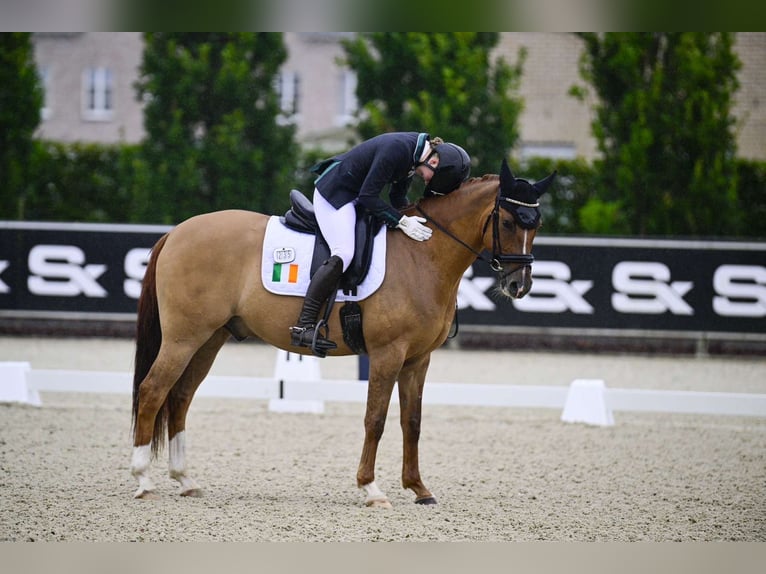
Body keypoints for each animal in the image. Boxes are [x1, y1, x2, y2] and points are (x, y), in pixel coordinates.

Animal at [129, 159, 556, 508]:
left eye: (536, 225)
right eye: (507, 222)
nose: (519, 285)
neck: (424, 255)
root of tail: (176, 233)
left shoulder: (418, 359)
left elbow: (412, 422)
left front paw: (419, 489)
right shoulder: (388, 353)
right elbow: (376, 419)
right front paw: (371, 488)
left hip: (210, 338)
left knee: (180, 397)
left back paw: (185, 481)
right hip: (184, 337)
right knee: (152, 391)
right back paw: (143, 481)